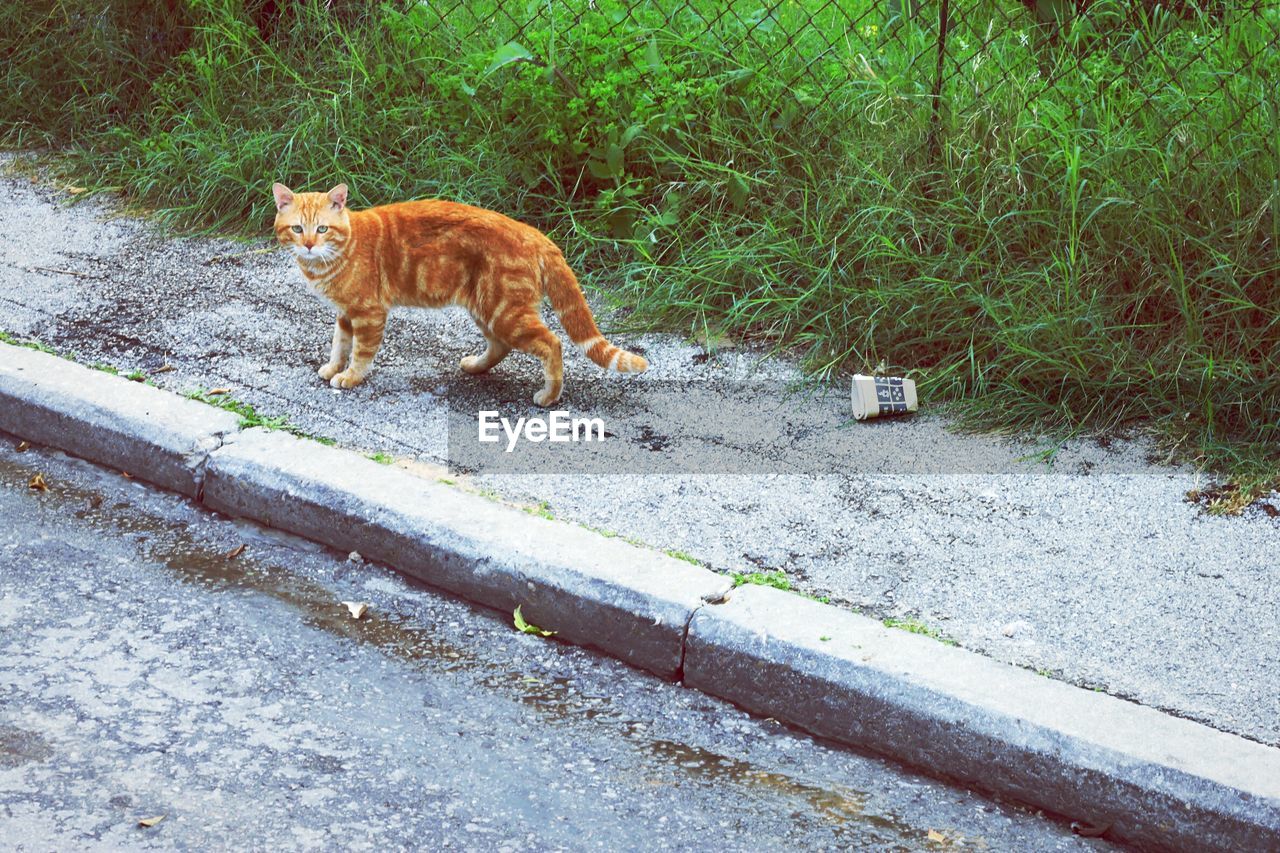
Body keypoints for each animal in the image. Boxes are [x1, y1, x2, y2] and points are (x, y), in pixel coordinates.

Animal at [273, 180, 645, 404]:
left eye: (322, 229)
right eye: (297, 229)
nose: (309, 245)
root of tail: (534, 233)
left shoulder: (368, 312)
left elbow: (361, 353)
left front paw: (350, 377)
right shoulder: (344, 314)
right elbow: (339, 345)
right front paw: (332, 368)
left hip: (505, 311)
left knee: (551, 342)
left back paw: (549, 395)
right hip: (485, 308)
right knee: (500, 346)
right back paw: (476, 366)